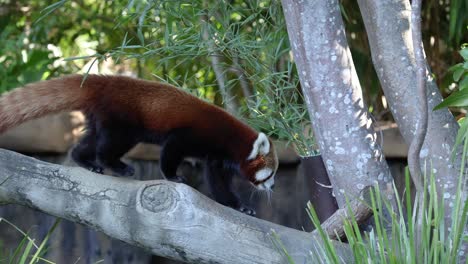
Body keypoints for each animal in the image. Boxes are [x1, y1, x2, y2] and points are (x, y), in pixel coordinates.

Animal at [0, 74, 278, 214]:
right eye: (270, 174)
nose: (273, 187)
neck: (232, 140)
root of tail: (104, 82)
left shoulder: (217, 157)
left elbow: (219, 183)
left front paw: (238, 205)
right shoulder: (194, 134)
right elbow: (171, 150)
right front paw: (172, 176)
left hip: (103, 117)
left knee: (89, 140)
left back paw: (85, 161)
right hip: (124, 121)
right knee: (110, 144)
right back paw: (115, 165)